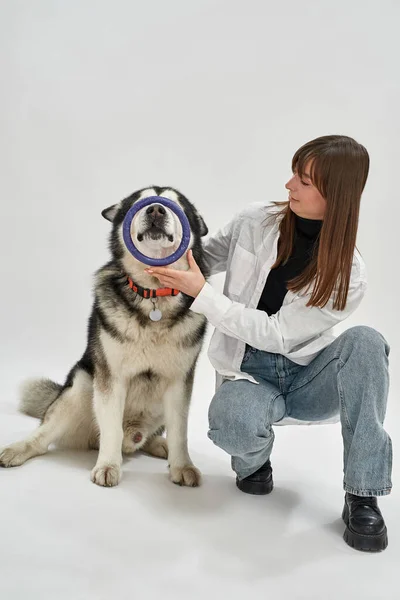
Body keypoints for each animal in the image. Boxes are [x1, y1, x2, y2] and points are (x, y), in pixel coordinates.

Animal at [0, 186, 211, 488]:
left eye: (177, 205)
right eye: (139, 202)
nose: (156, 209)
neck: (152, 297)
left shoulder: (179, 381)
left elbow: (179, 430)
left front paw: (182, 465)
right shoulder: (111, 378)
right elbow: (111, 428)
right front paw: (108, 465)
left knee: (152, 435)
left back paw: (160, 445)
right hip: (83, 385)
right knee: (43, 437)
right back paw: (17, 450)